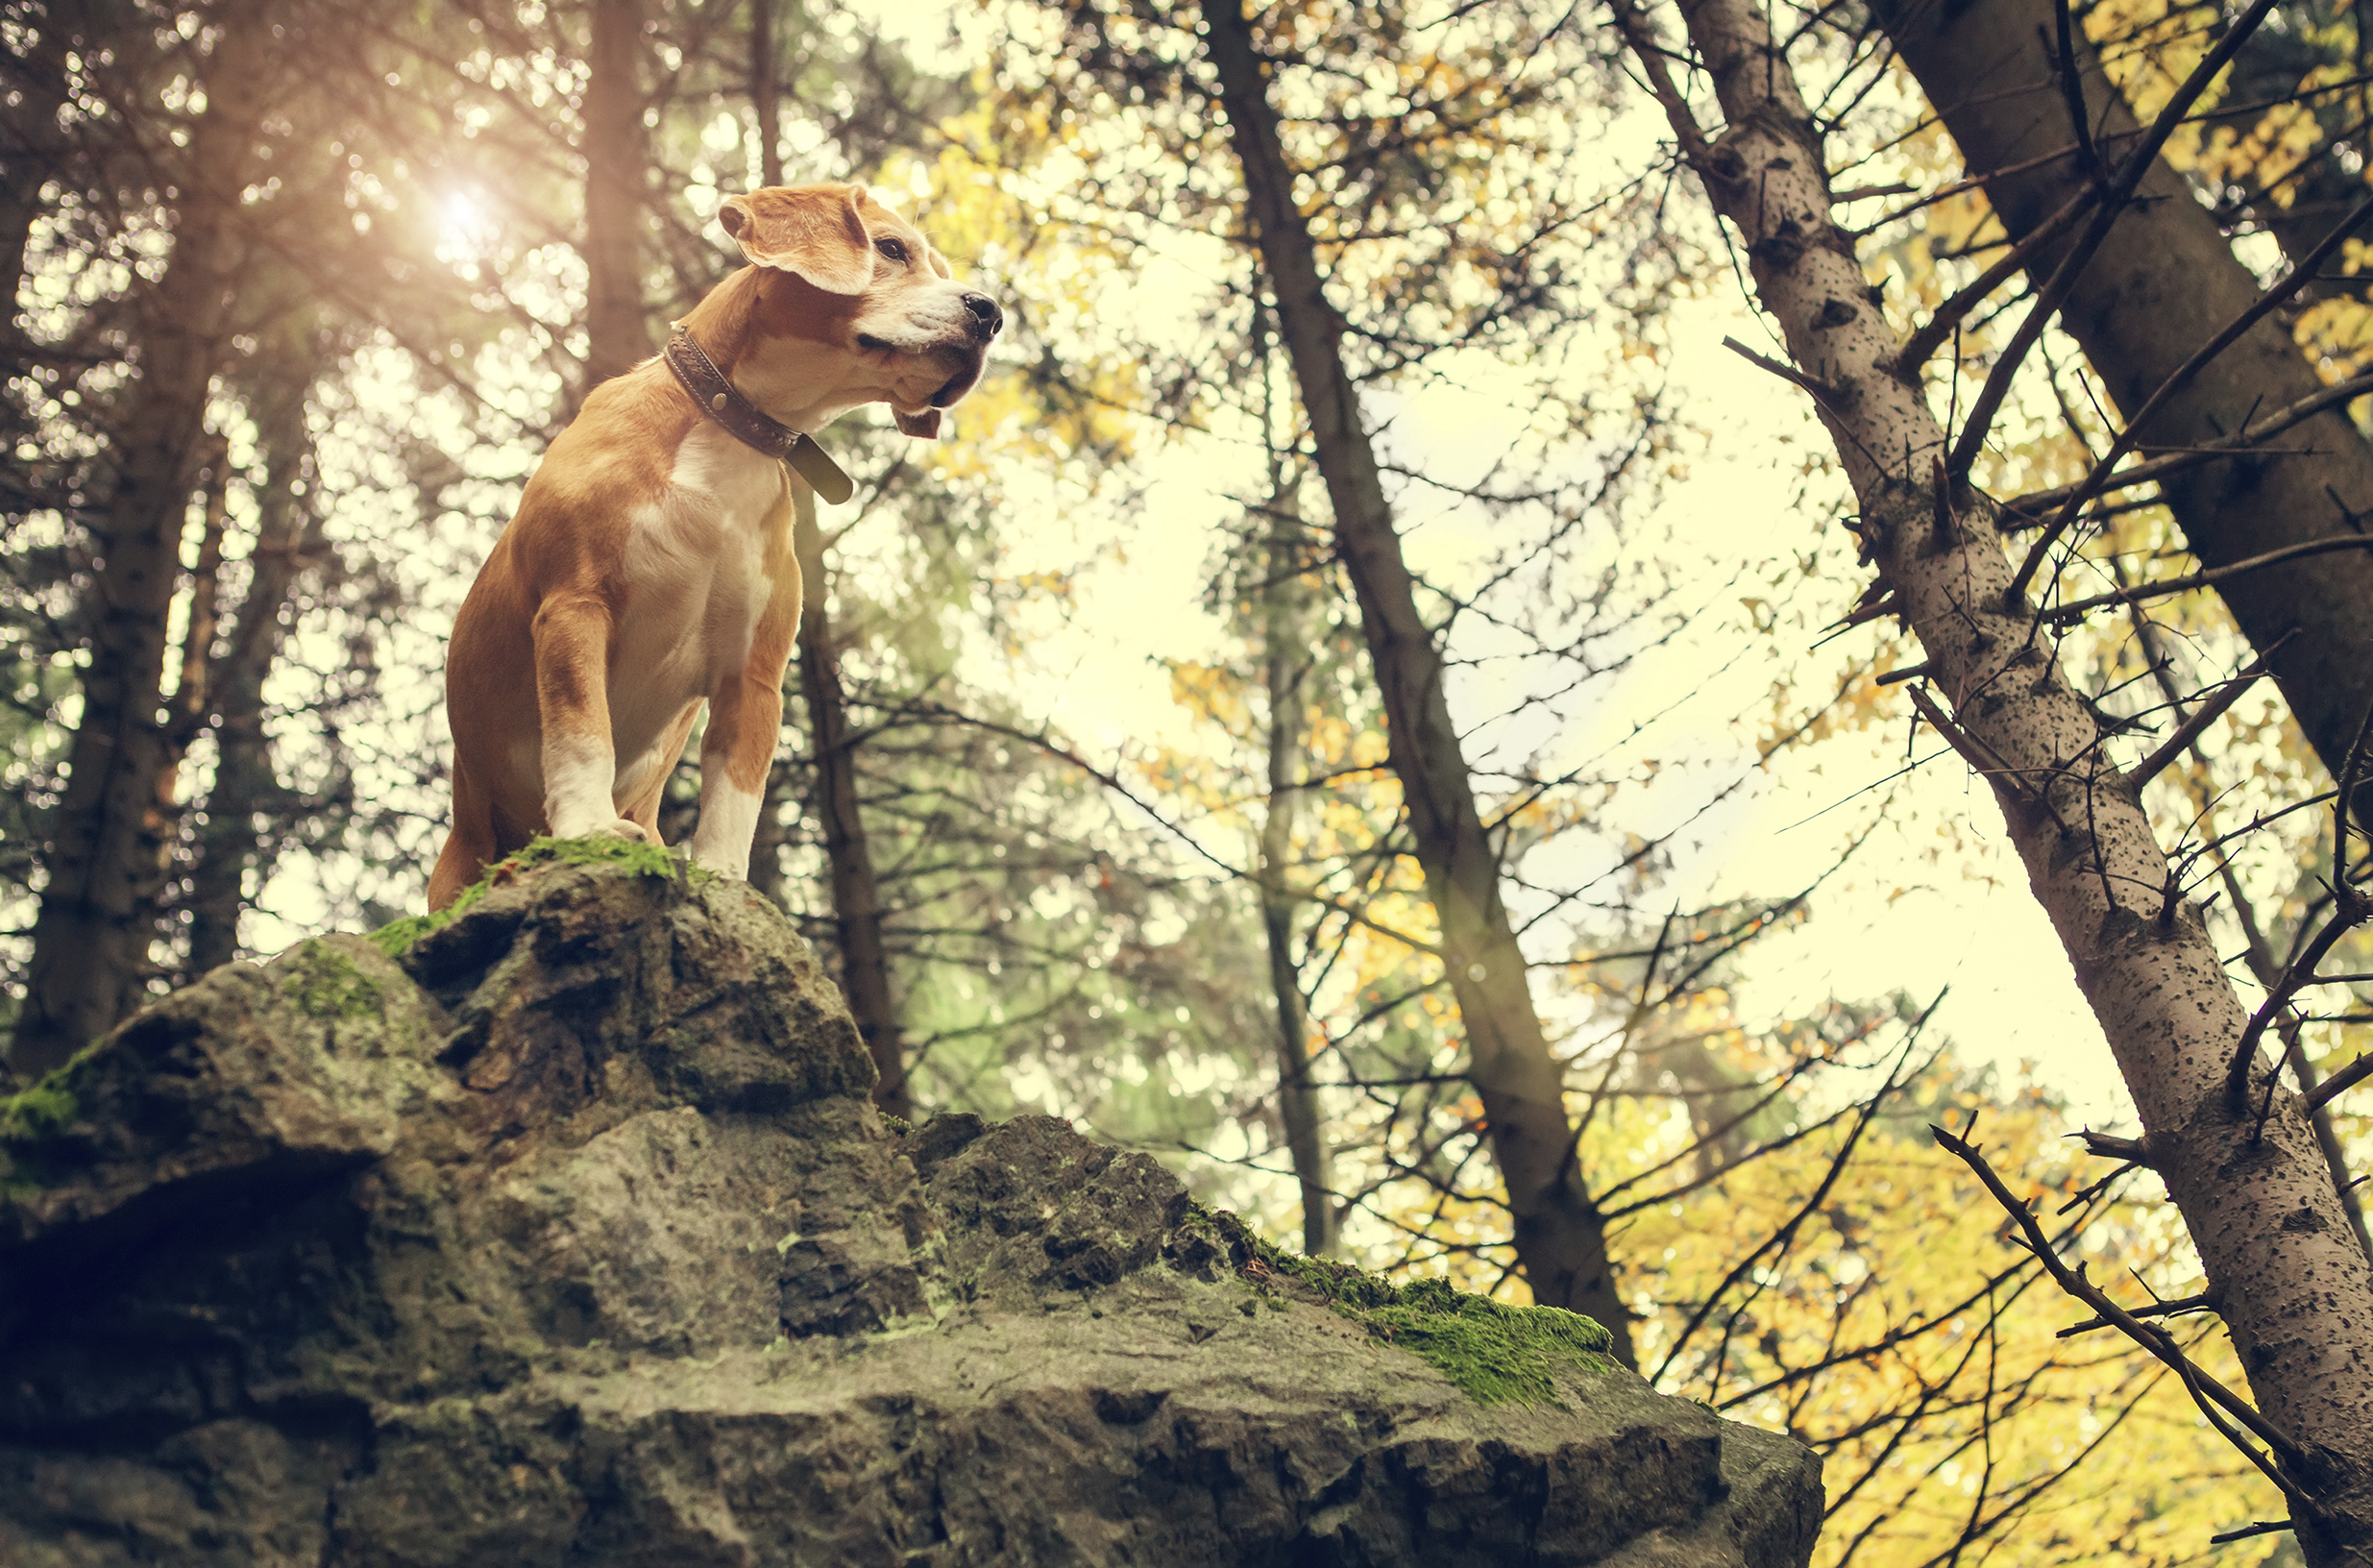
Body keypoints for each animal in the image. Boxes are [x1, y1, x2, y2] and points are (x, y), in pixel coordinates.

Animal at [431, 184, 996, 911]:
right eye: (892, 249)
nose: (992, 313)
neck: (730, 431)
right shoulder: (574, 607)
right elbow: (582, 735)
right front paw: (588, 829)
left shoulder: (751, 679)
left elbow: (734, 802)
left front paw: (726, 884)